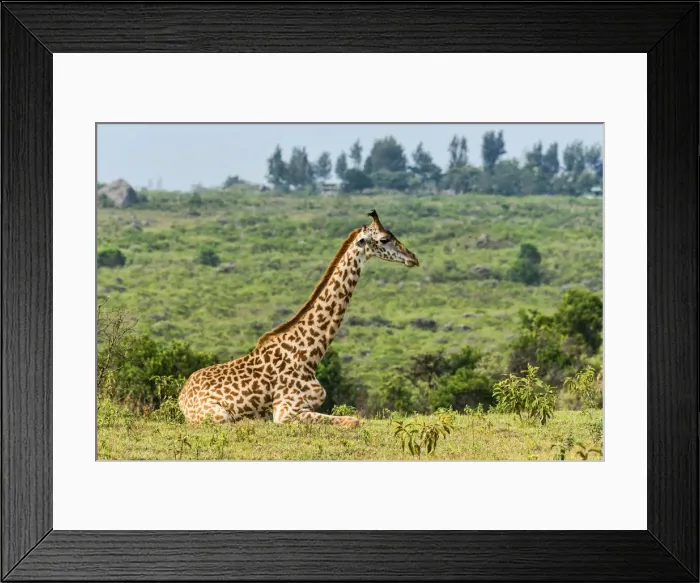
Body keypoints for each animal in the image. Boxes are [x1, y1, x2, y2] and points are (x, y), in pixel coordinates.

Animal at [178, 209, 419, 428]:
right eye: (384, 239)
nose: (413, 258)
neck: (309, 354)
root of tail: (181, 395)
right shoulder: (286, 411)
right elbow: (353, 421)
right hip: (218, 416)